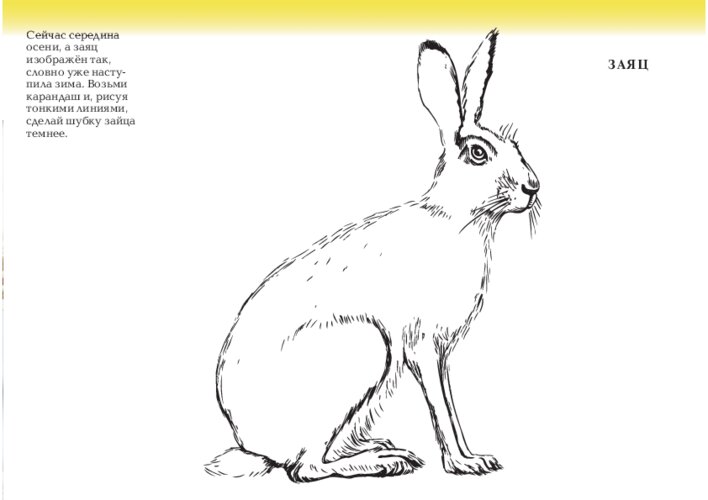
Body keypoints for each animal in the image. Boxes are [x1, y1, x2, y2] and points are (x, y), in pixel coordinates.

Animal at [206, 29, 540, 482]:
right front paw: (466, 464)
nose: (533, 187)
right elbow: (441, 406)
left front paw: (473, 458)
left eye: (514, 144)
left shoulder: (438, 352)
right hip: (364, 347)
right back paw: (386, 462)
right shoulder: (422, 343)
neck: (457, 218)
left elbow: (449, 403)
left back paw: (385, 447)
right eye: (477, 154)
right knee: (306, 467)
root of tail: (252, 443)